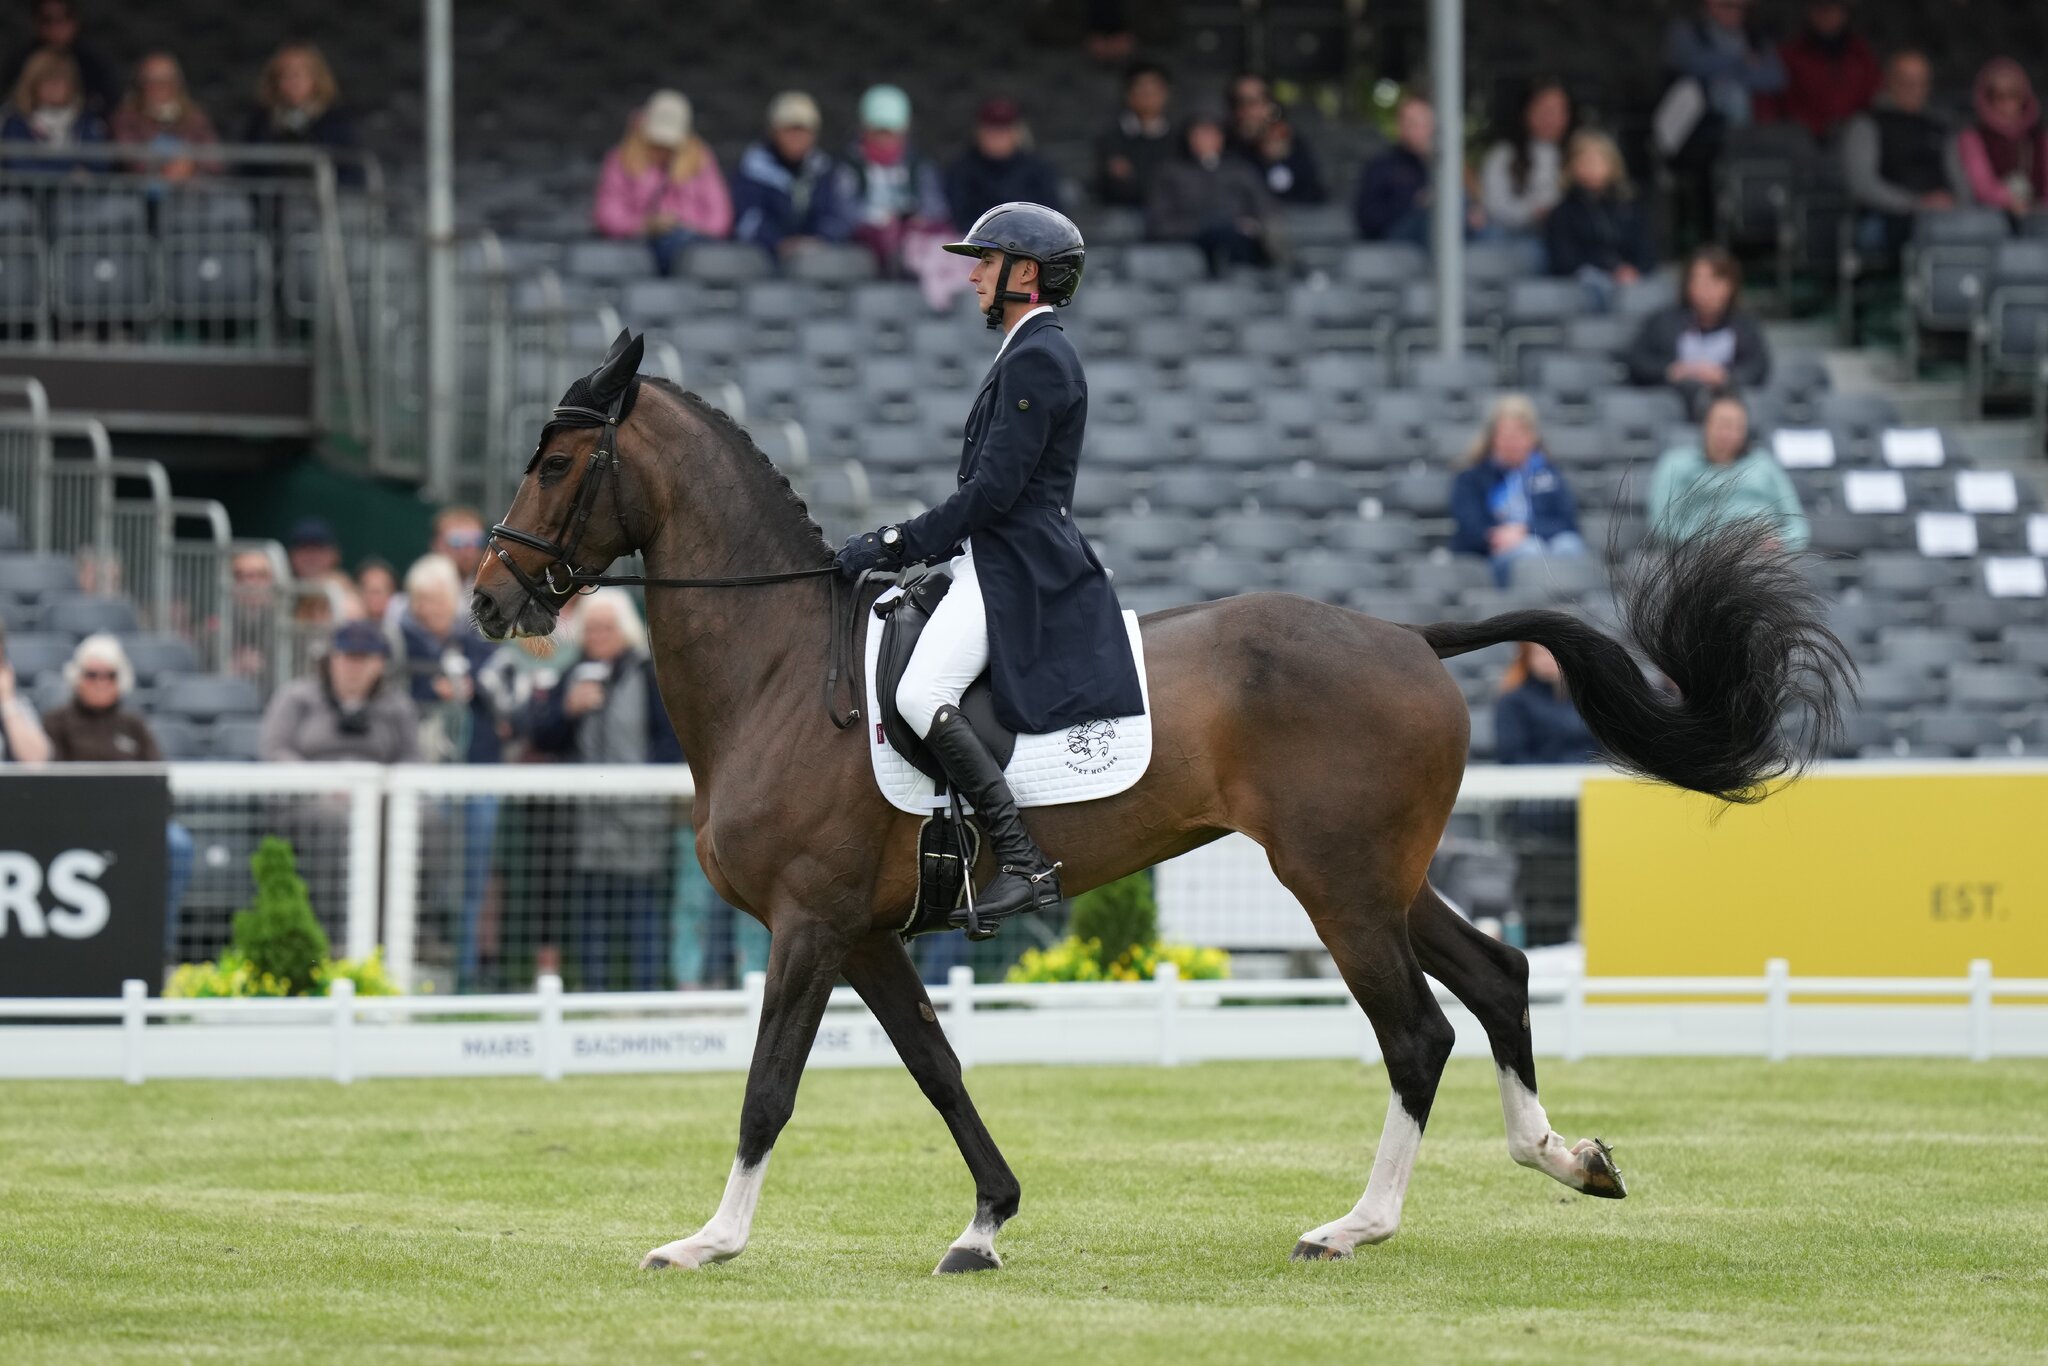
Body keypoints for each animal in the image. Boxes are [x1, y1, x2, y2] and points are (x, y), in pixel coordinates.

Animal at [471, 341, 1851, 1273]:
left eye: (557, 460)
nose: (489, 602)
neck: (776, 670)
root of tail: (1410, 632)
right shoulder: (864, 932)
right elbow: (937, 1067)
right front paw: (985, 1222)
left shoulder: (808, 923)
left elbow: (767, 1085)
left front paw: (706, 1240)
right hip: (1382, 876)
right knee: (1498, 975)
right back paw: (1562, 1159)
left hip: (1334, 883)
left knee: (1416, 1032)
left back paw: (1356, 1224)